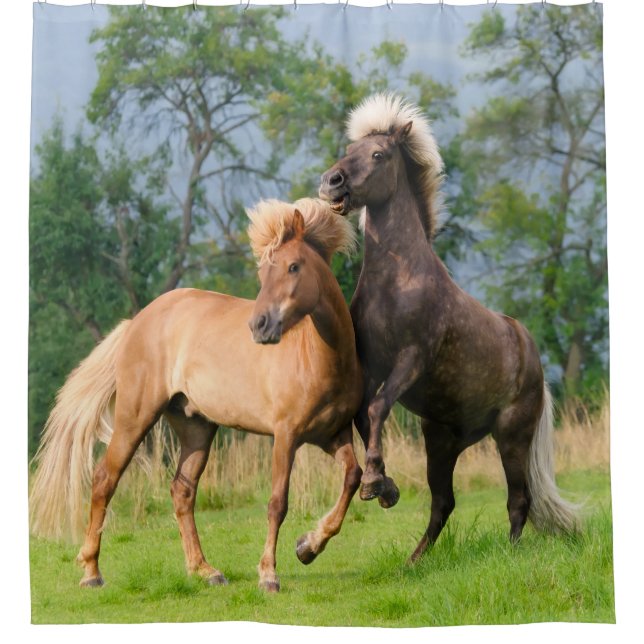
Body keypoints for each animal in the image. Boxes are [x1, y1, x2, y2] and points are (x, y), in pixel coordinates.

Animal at [29, 198, 363, 592]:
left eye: (294, 266)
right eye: (263, 274)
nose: (260, 326)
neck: (320, 358)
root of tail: (136, 321)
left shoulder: (333, 434)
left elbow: (353, 478)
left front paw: (308, 547)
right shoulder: (286, 436)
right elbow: (277, 503)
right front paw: (268, 574)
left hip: (196, 427)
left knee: (182, 491)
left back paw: (204, 570)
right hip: (135, 417)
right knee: (104, 480)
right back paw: (92, 572)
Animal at [319, 93, 578, 561]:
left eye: (379, 154)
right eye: (349, 150)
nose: (331, 182)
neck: (397, 280)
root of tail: (533, 359)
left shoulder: (411, 359)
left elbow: (377, 409)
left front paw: (373, 484)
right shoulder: (370, 366)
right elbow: (365, 416)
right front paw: (385, 487)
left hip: (511, 436)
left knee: (519, 499)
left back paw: (510, 555)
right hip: (441, 441)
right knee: (444, 502)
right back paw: (413, 562)